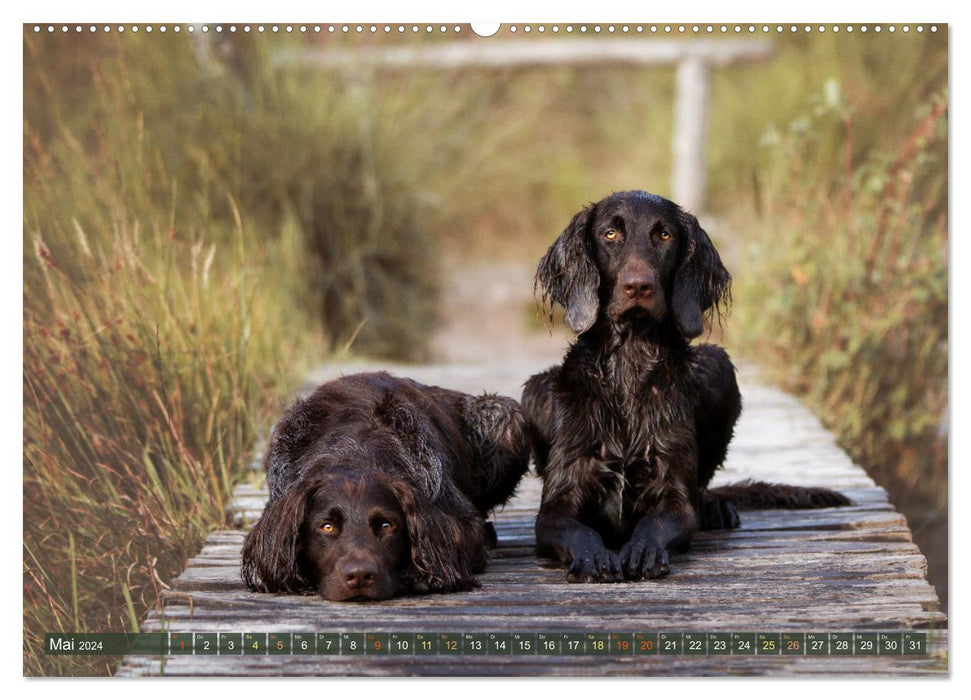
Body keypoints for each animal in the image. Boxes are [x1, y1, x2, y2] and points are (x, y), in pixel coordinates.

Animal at [243, 372, 532, 600]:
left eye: (385, 525)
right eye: (327, 527)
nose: (360, 575)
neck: (353, 450)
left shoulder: (462, 521)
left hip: (508, 418)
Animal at [524, 191, 852, 584]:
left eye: (664, 235)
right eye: (609, 234)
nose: (638, 286)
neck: (630, 362)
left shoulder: (674, 496)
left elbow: (656, 521)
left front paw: (643, 551)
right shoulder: (559, 503)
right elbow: (578, 530)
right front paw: (594, 557)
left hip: (718, 365)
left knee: (703, 490)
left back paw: (716, 508)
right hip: (536, 389)